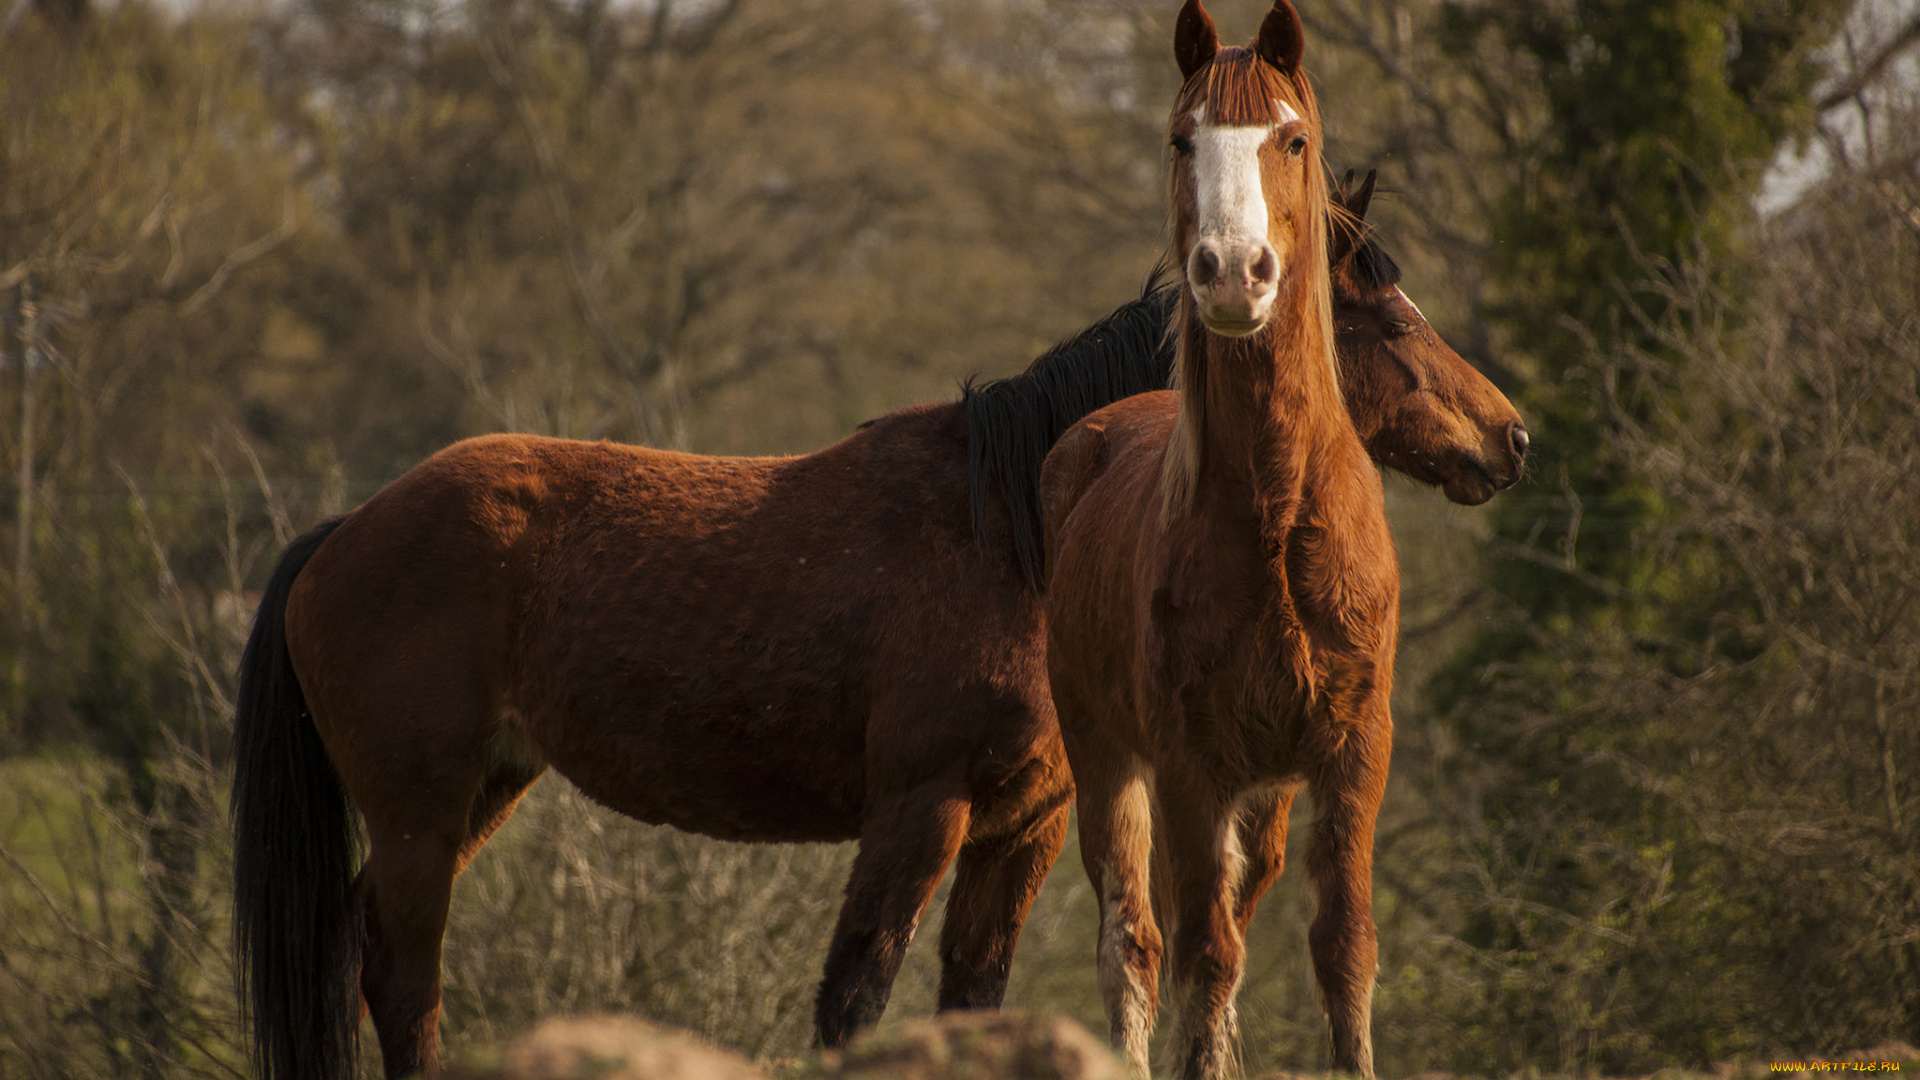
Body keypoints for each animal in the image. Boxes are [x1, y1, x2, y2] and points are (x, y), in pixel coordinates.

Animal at [228, 184, 1512, 1080]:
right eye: (1385, 319)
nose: (1510, 438)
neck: (1017, 522)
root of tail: (344, 533)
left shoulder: (1022, 828)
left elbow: (972, 1007)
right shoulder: (917, 811)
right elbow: (856, 1000)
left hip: (482, 790)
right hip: (422, 809)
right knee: (404, 978)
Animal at [1036, 4, 1397, 1068]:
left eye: (1293, 139)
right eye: (1180, 139)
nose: (1235, 274)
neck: (1274, 518)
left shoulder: (1354, 750)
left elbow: (1343, 948)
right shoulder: (1191, 764)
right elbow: (1205, 957)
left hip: (1263, 795)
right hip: (1110, 761)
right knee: (1135, 942)